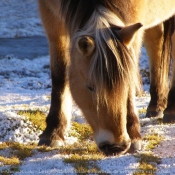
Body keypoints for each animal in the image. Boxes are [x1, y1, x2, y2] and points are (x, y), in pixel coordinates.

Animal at [37, 0, 175, 156]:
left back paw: (171, 109)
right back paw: (156, 105)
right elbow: (60, 75)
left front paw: (133, 136)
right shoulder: (51, 16)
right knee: (156, 39)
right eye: (90, 87)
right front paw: (53, 132)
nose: (116, 146)